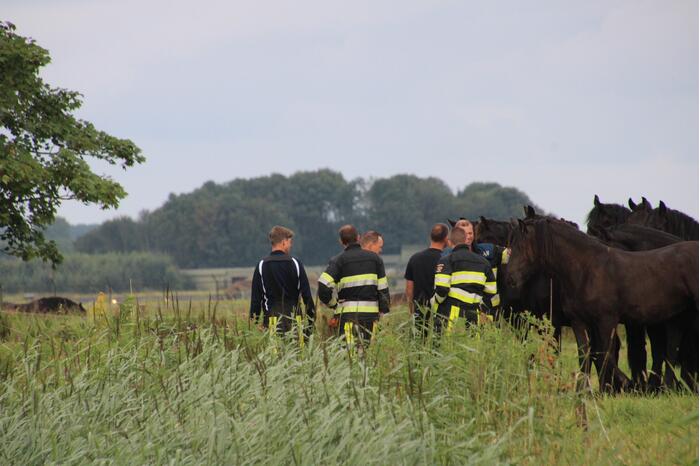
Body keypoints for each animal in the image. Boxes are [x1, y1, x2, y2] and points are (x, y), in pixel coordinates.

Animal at [507, 217, 698, 392]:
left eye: (520, 247)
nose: (510, 279)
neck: (587, 270)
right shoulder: (579, 322)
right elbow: (585, 355)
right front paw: (583, 391)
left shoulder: (606, 321)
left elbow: (604, 355)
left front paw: (614, 387)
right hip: (677, 316)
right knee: (672, 347)